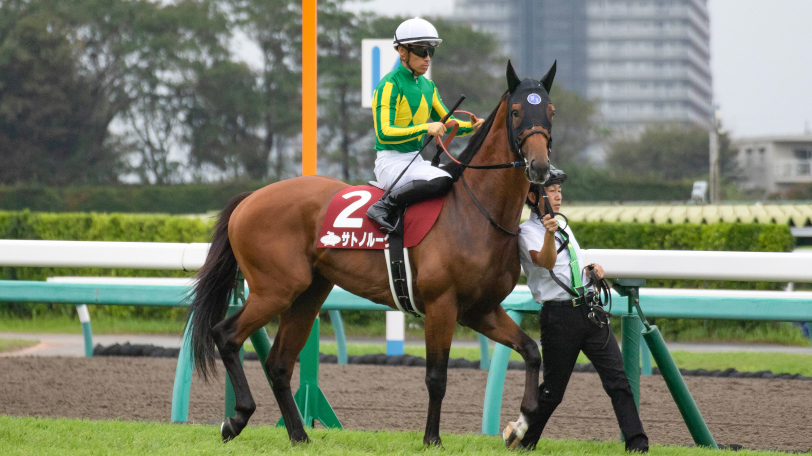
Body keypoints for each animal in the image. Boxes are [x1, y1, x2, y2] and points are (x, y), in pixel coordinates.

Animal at [186, 60, 558, 447]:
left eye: (550, 111)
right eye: (516, 111)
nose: (540, 167)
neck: (476, 212)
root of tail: (249, 199)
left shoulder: (480, 309)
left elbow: (531, 351)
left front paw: (522, 424)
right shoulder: (442, 304)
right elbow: (436, 377)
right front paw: (432, 439)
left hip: (308, 293)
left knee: (278, 363)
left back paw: (299, 436)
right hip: (274, 289)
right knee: (226, 335)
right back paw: (237, 418)